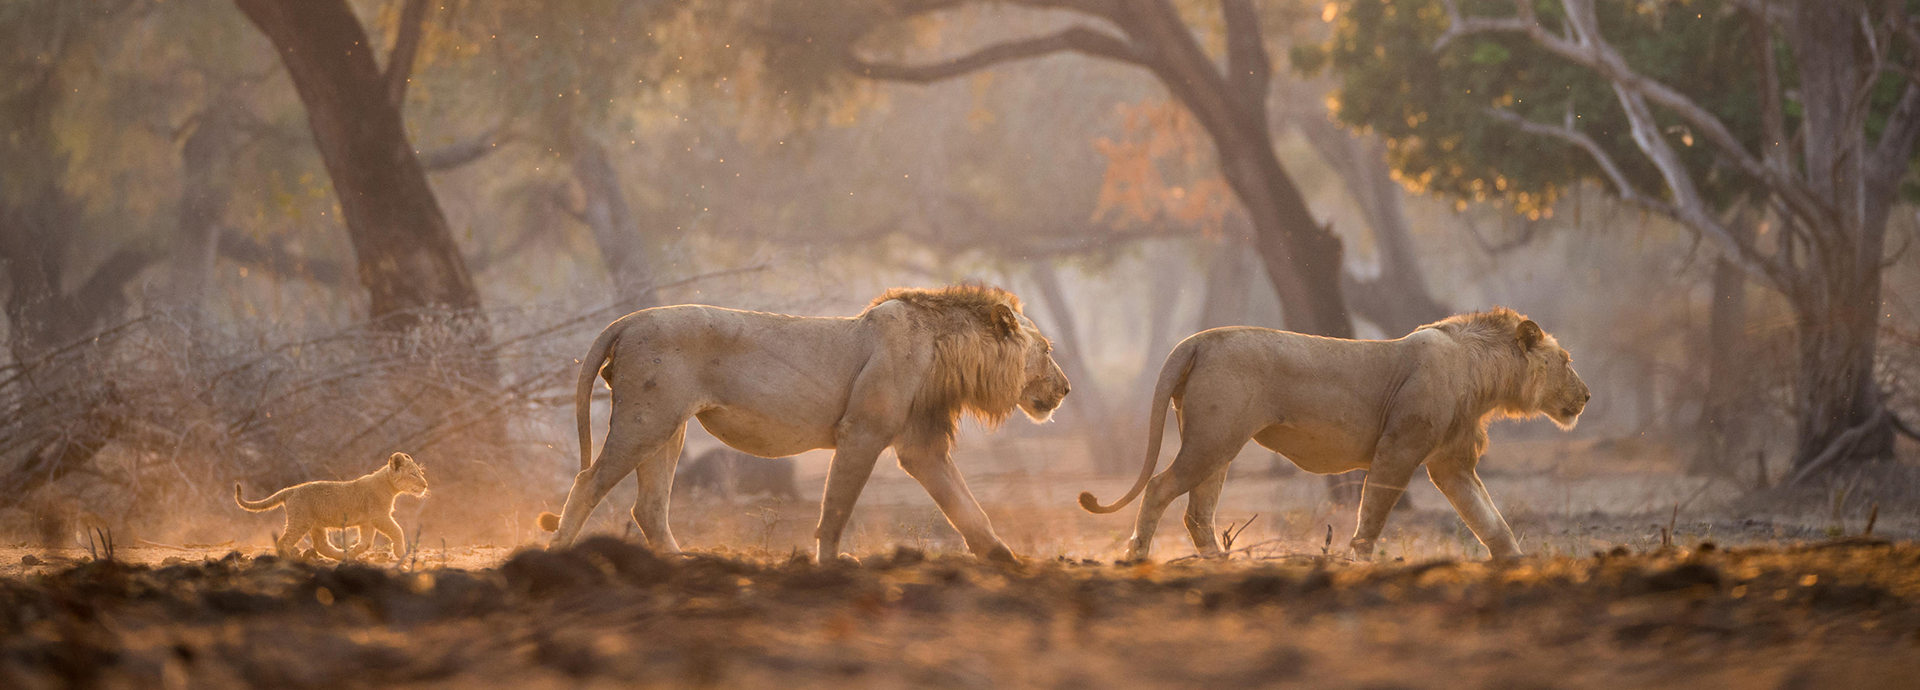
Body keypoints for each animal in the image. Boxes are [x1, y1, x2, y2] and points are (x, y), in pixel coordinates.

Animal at [234, 452, 430, 561]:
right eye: (413, 474)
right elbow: (397, 530)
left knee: (322, 545)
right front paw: (401, 552)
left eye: (420, 473)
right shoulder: (379, 515)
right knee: (284, 541)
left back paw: (343, 555)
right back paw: (288, 559)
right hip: (301, 520)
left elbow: (366, 543)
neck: (389, 485)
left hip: (316, 524)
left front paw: (353, 552)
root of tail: (290, 490)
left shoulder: (367, 522)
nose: (426, 485)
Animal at [536, 285, 1071, 563]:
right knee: (588, 481)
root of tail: (627, 319)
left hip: (669, 427)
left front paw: (1005, 560)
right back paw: (557, 554)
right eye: (1046, 350)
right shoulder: (862, 433)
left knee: (648, 507)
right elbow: (836, 507)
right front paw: (832, 563)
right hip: (645, 420)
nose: (1066, 389)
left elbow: (967, 508)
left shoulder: (921, 447)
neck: (947, 352)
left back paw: (679, 563)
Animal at [1080, 308, 1588, 562]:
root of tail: (1197, 339)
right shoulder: (1399, 449)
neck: (1483, 376)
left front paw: (1517, 566)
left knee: (1197, 514)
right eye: (1566, 361)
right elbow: (1374, 515)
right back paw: (1138, 556)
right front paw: (1359, 561)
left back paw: (1220, 565)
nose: (1586, 396)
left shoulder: (1452, 465)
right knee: (1159, 488)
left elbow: (1492, 523)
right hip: (1211, 441)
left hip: (1216, 446)